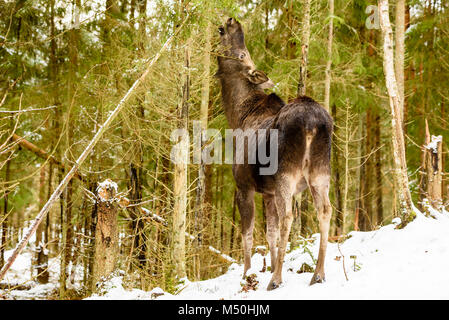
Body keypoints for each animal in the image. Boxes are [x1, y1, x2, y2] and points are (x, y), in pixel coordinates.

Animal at [217, 16, 332, 290]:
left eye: (243, 54)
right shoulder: (267, 193)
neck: (237, 116)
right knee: (325, 210)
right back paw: (318, 273)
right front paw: (267, 266)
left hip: (286, 174)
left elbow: (248, 233)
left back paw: (277, 279)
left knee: (288, 216)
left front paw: (248, 273)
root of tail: (312, 123)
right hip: (320, 173)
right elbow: (269, 233)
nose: (233, 20)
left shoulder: (244, 186)